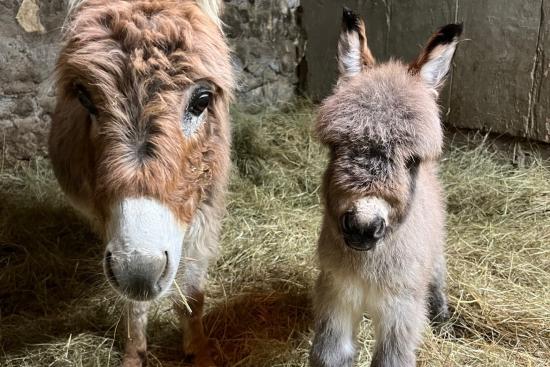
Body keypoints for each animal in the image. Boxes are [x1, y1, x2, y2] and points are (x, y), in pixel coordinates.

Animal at [312, 8, 464, 367]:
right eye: (336, 147)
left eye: (412, 161)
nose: (363, 226)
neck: (369, 267)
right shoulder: (335, 299)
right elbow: (330, 355)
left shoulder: (401, 312)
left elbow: (391, 359)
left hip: (435, 251)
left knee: (438, 277)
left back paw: (443, 318)